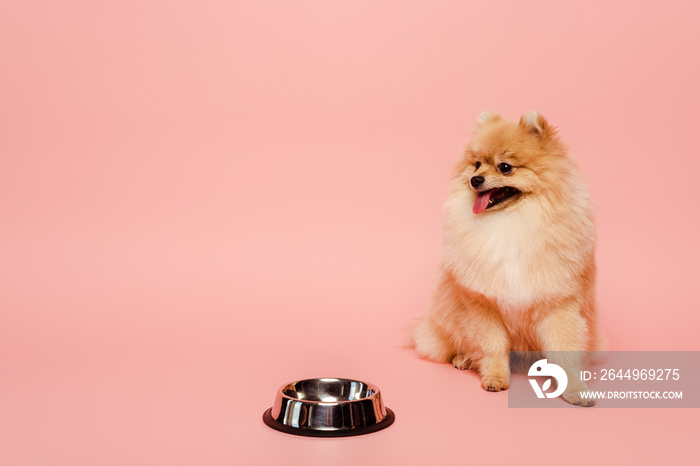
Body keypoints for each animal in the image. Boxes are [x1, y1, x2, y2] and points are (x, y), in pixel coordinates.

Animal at [416, 112, 600, 404]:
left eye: (505, 167)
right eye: (476, 164)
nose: (475, 179)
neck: (511, 220)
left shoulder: (561, 303)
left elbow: (564, 349)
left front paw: (574, 389)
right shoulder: (482, 304)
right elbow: (492, 346)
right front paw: (495, 377)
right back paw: (463, 358)